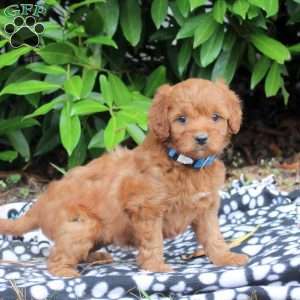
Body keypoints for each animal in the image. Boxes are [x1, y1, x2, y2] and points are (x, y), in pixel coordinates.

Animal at [0, 78, 248, 276]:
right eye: (181, 119)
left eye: (216, 117)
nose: (201, 138)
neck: (185, 164)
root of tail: (40, 203)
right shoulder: (146, 209)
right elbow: (153, 241)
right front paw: (156, 267)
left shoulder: (206, 208)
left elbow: (213, 236)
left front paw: (226, 258)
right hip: (81, 224)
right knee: (57, 255)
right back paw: (65, 273)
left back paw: (94, 257)